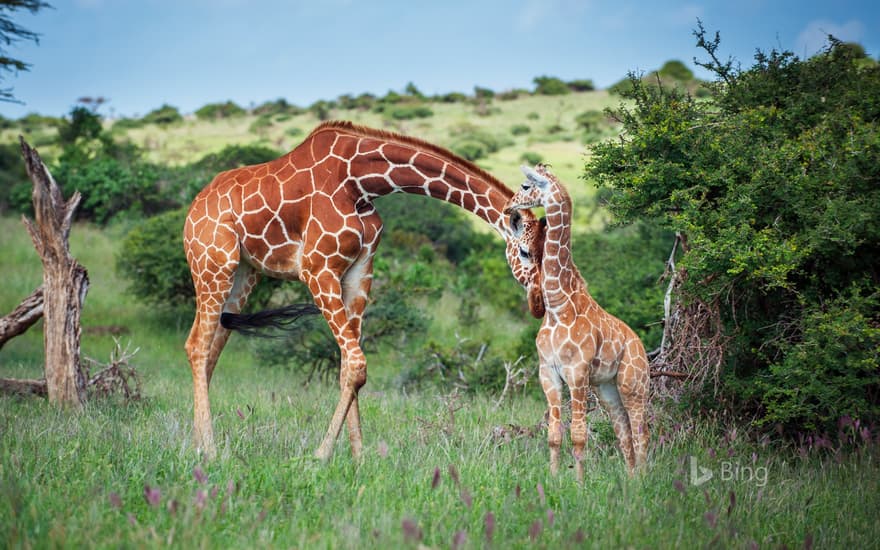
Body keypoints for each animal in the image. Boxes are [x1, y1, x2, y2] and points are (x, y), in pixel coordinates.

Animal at [185, 122, 544, 462]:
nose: (539, 303)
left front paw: (359, 458)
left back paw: (196, 444)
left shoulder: (360, 272)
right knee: (197, 345)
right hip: (212, 264)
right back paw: (210, 450)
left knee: (210, 347)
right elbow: (357, 363)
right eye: (525, 252)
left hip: (244, 274)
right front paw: (321, 455)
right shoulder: (318, 269)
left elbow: (349, 366)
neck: (360, 182)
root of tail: (193, 208)